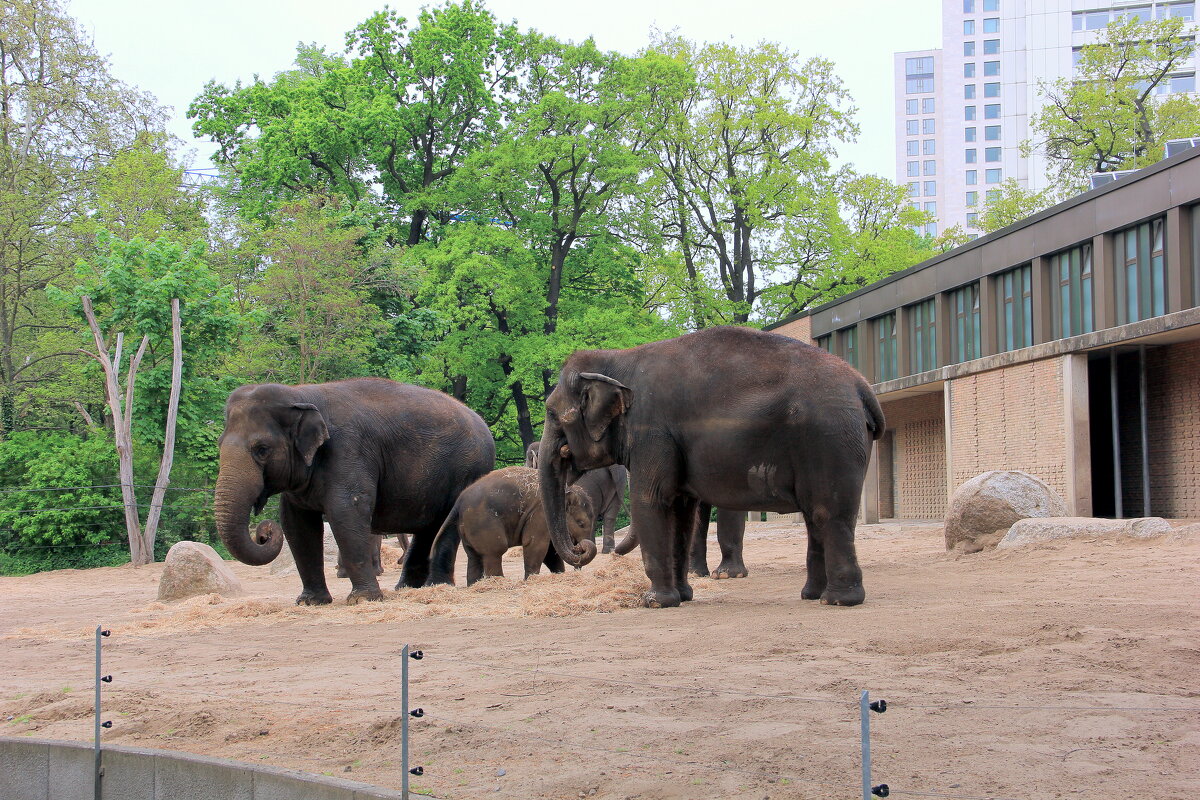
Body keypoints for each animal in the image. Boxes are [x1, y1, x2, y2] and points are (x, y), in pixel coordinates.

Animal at [214, 379, 492, 604]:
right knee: (429, 528)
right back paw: (407, 589)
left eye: (262, 449)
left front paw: (362, 600)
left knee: (447, 524)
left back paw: (437, 587)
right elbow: (296, 523)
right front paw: (310, 602)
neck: (300, 393)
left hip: (468, 472)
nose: (263, 532)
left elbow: (346, 512)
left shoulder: (349, 450)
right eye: (219, 444)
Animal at [427, 465, 595, 585]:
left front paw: (559, 575)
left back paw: (475, 585)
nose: (580, 547)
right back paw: (499, 582)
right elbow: (536, 544)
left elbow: (551, 551)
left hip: (468, 527)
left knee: (473, 556)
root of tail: (459, 502)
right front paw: (530, 580)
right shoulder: (540, 514)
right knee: (494, 551)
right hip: (484, 522)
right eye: (581, 523)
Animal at [540, 326, 888, 606]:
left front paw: (655, 602)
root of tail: (862, 387)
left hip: (831, 437)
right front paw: (683, 597)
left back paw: (839, 601)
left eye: (553, 414)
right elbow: (681, 511)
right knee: (815, 515)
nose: (584, 550)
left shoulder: (652, 431)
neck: (618, 359)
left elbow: (651, 500)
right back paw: (812, 596)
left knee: (829, 513)